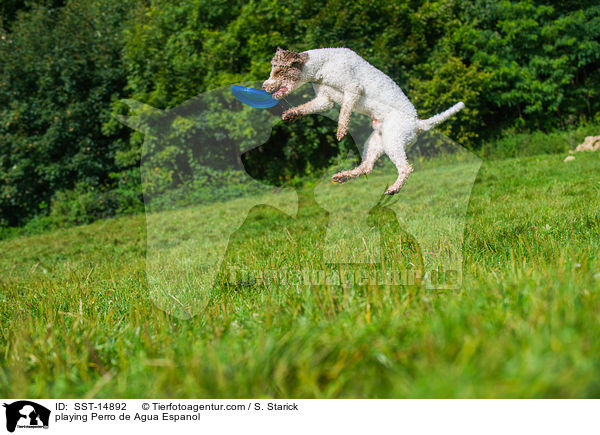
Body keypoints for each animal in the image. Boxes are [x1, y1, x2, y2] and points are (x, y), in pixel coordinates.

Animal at [262, 47, 464, 194]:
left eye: (278, 71)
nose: (264, 86)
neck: (322, 66)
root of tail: (418, 123)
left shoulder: (353, 89)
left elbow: (344, 112)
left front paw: (341, 130)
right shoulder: (324, 99)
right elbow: (308, 107)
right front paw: (291, 114)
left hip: (392, 141)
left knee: (406, 168)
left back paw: (393, 189)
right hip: (375, 142)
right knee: (366, 167)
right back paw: (343, 176)